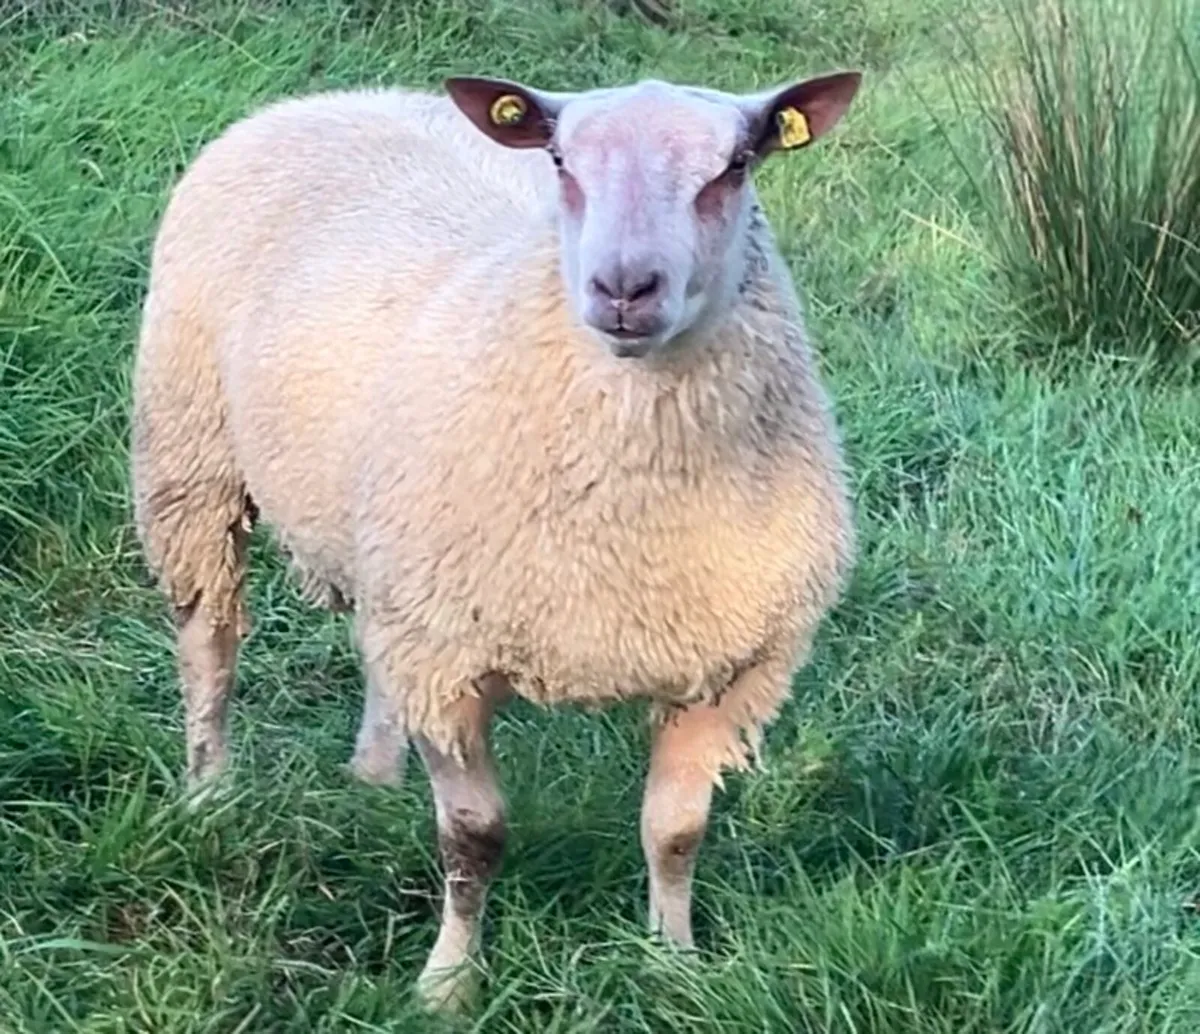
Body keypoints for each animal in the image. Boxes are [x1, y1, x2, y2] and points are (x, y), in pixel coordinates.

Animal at [130, 68, 862, 1011]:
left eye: (735, 166)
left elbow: (676, 832)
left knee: (372, 652)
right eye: (560, 162)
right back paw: (208, 791)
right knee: (208, 640)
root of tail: (338, 96)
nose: (625, 287)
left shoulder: (732, 667)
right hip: (192, 454)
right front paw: (447, 985)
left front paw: (673, 963)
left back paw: (373, 780)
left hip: (391, 540)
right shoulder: (450, 658)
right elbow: (474, 840)